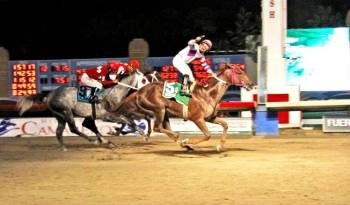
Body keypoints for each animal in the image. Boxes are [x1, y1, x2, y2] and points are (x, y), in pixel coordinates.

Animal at [111, 63, 252, 151]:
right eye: (239, 72)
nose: (251, 84)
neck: (207, 94)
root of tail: (139, 91)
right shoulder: (197, 118)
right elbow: (207, 135)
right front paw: (187, 141)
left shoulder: (210, 118)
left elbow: (225, 125)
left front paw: (220, 146)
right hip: (159, 109)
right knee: (157, 127)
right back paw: (179, 138)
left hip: (165, 113)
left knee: (163, 128)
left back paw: (183, 144)